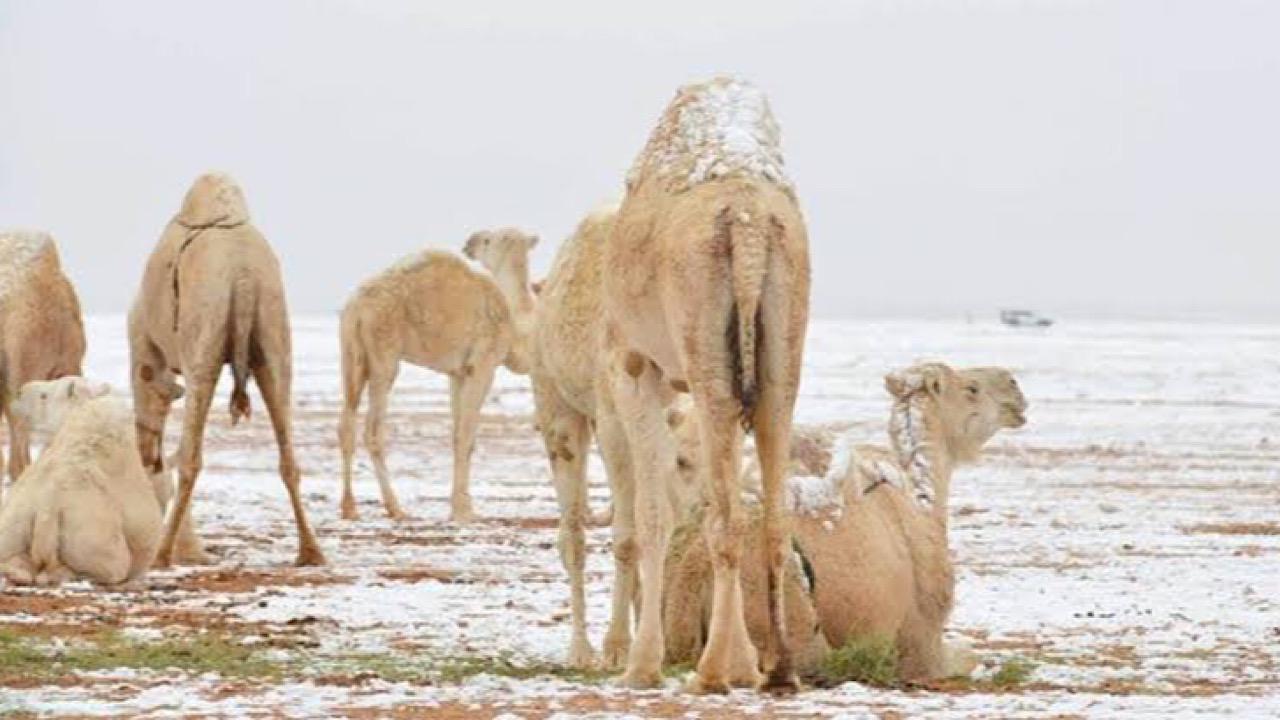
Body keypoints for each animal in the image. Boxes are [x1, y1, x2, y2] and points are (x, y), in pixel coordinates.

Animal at [0, 376, 177, 584]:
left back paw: (19, 573)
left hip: (15, 522)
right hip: (92, 533)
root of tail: (47, 506)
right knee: (114, 566)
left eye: (44, 396)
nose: (19, 392)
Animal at [335, 228, 535, 520]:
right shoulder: (483, 366)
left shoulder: (458, 373)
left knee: (346, 423)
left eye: (487, 240)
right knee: (373, 429)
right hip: (384, 352)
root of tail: (357, 308)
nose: (469, 242)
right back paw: (394, 506)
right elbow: (467, 436)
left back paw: (349, 507)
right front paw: (463, 511)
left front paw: (461, 505)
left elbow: (458, 435)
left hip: (352, 354)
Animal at [599, 74, 808, 691]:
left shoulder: (634, 367)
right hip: (782, 342)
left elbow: (655, 514)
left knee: (724, 517)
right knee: (768, 509)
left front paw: (642, 665)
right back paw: (778, 669)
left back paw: (711, 671)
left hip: (702, 343)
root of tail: (746, 220)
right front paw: (744, 662)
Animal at [660, 361, 1029, 681]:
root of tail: (690, 574)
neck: (922, 502)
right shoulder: (921, 639)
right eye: (972, 388)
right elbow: (962, 655)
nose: (1014, 386)